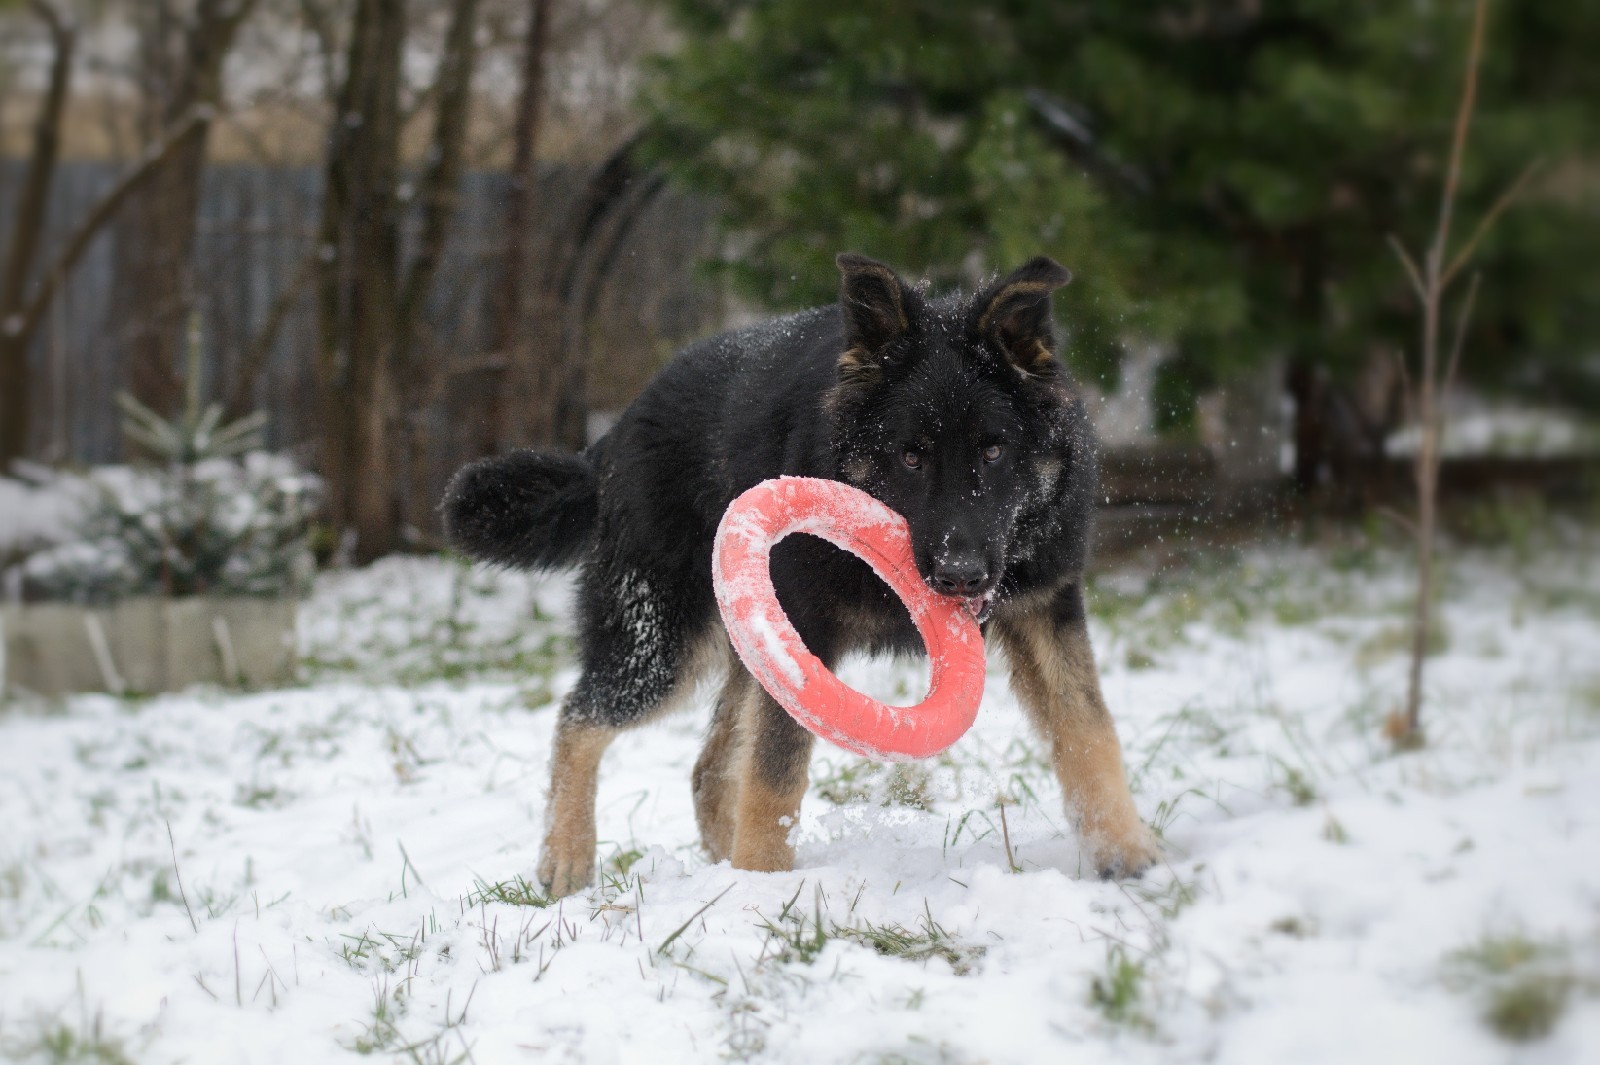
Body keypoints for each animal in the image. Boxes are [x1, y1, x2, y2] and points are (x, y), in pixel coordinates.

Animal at [444, 252, 1158, 889]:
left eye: (994, 450)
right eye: (911, 456)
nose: (960, 576)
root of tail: (613, 434)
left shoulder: (1046, 611)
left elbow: (1088, 727)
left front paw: (1124, 853)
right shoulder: (802, 634)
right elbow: (775, 775)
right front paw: (763, 888)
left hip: (739, 652)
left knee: (706, 769)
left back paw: (718, 870)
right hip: (663, 645)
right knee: (581, 717)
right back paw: (568, 857)